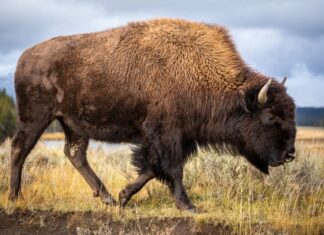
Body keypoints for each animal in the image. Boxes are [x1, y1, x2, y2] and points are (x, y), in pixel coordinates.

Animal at [9, 19, 296, 212]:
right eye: (271, 117)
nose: (290, 154)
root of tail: (24, 57)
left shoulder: (178, 137)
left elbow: (153, 168)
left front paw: (123, 196)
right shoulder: (167, 133)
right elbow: (173, 169)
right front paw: (188, 205)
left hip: (73, 125)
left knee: (75, 154)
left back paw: (107, 197)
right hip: (36, 118)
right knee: (19, 149)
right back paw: (15, 196)